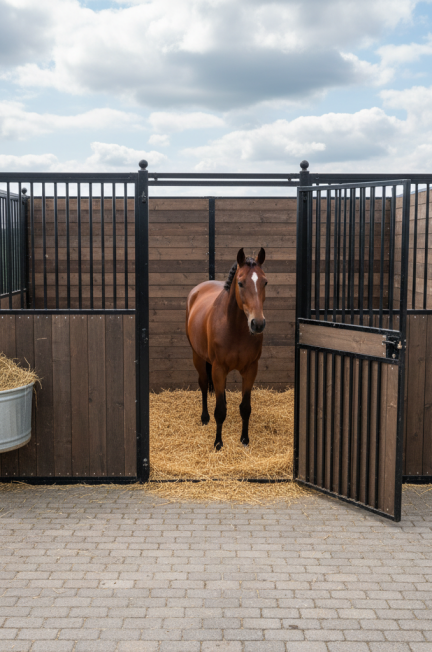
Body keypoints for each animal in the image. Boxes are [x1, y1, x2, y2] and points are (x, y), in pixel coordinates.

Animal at [186, 247, 267, 450]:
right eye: (240, 283)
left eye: (265, 282)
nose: (257, 324)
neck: (234, 328)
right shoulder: (218, 368)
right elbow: (220, 410)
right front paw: (218, 443)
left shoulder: (251, 369)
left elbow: (245, 408)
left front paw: (244, 440)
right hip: (198, 358)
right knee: (203, 384)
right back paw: (205, 417)